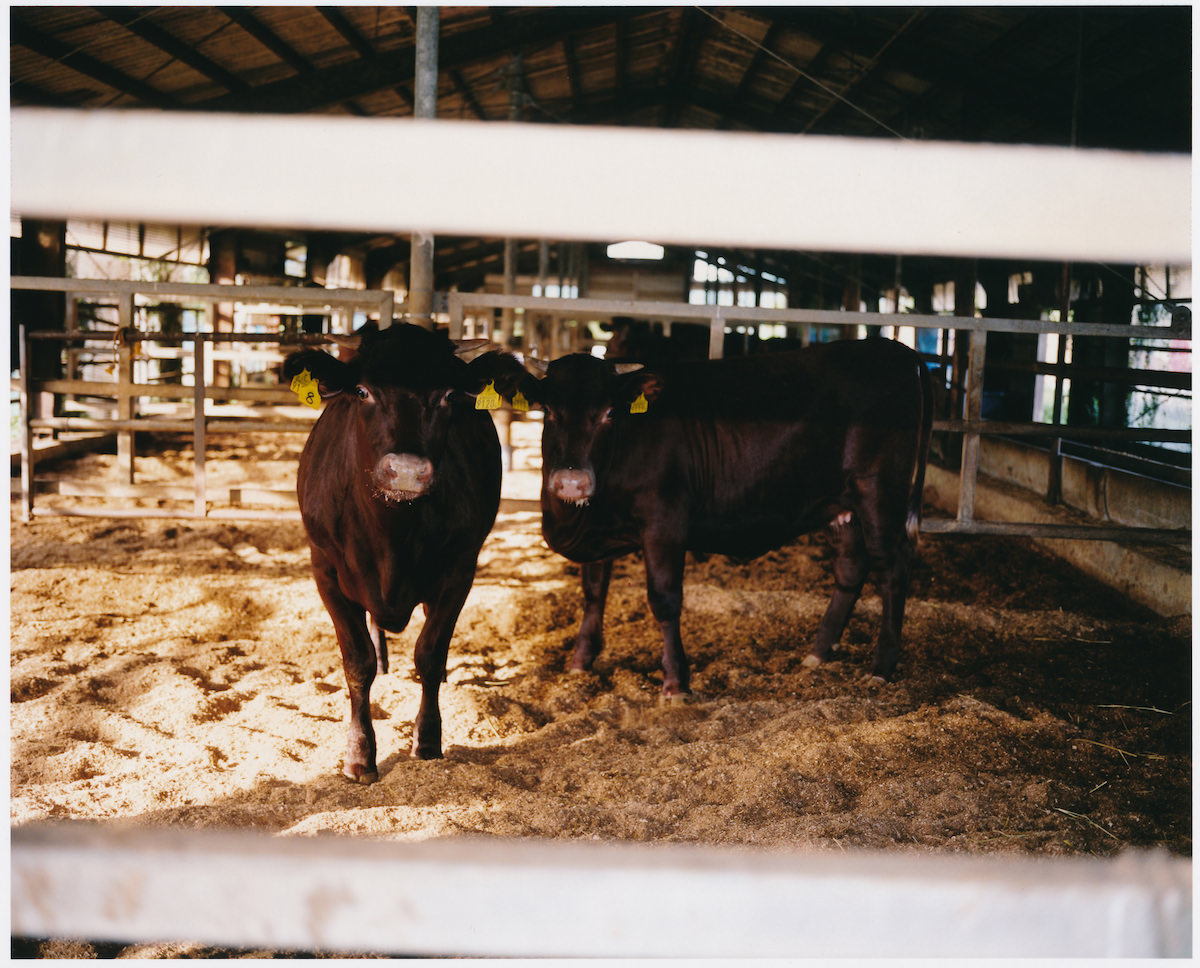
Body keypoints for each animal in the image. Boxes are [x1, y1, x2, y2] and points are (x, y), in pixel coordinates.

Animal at [283, 321, 523, 782]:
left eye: (448, 395)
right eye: (362, 391)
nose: (408, 471)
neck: (392, 532)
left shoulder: (460, 571)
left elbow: (429, 654)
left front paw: (427, 741)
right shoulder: (324, 570)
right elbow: (357, 663)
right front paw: (360, 755)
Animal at [520, 340, 931, 695]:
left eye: (609, 413)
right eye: (549, 410)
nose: (572, 482)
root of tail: (898, 350)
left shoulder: (664, 522)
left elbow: (665, 598)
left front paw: (676, 684)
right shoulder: (599, 529)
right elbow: (594, 592)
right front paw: (580, 662)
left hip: (879, 493)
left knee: (892, 567)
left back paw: (881, 667)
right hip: (839, 506)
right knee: (850, 567)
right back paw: (817, 653)